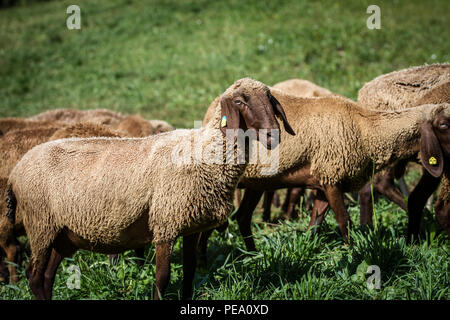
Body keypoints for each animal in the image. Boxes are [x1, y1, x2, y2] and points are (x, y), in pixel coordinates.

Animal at [7, 78, 296, 300]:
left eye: (270, 99)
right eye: (239, 102)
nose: (273, 135)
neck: (204, 154)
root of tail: (15, 171)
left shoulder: (191, 225)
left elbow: (190, 272)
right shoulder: (165, 222)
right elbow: (162, 278)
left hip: (63, 233)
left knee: (47, 275)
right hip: (40, 224)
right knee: (34, 275)